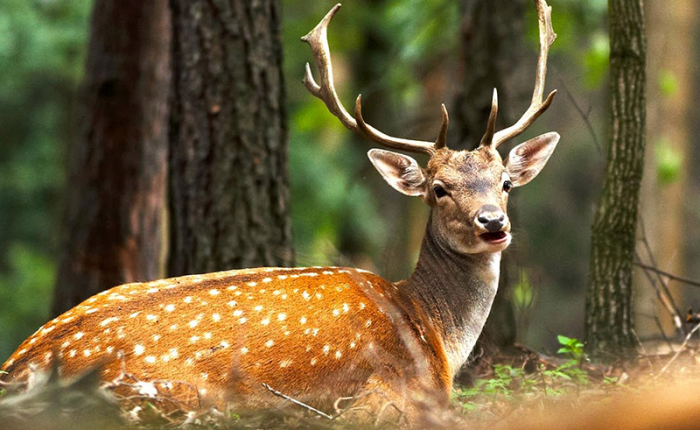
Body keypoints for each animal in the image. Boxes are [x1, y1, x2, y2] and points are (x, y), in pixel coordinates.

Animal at [0, 0, 556, 424]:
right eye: (439, 190)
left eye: (506, 183)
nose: (493, 223)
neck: (435, 335)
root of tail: (18, 370)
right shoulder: (388, 394)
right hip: (168, 397)